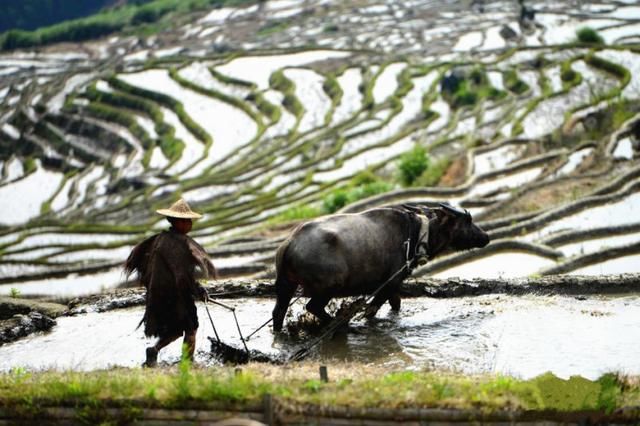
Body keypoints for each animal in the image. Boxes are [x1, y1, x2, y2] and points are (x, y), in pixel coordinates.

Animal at [272, 204, 490, 332]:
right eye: (468, 221)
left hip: (286, 285)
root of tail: (290, 243)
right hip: (328, 288)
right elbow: (372, 309)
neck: (415, 233)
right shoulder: (390, 283)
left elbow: (396, 304)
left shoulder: (392, 286)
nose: (486, 237)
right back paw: (341, 324)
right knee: (312, 307)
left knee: (278, 312)